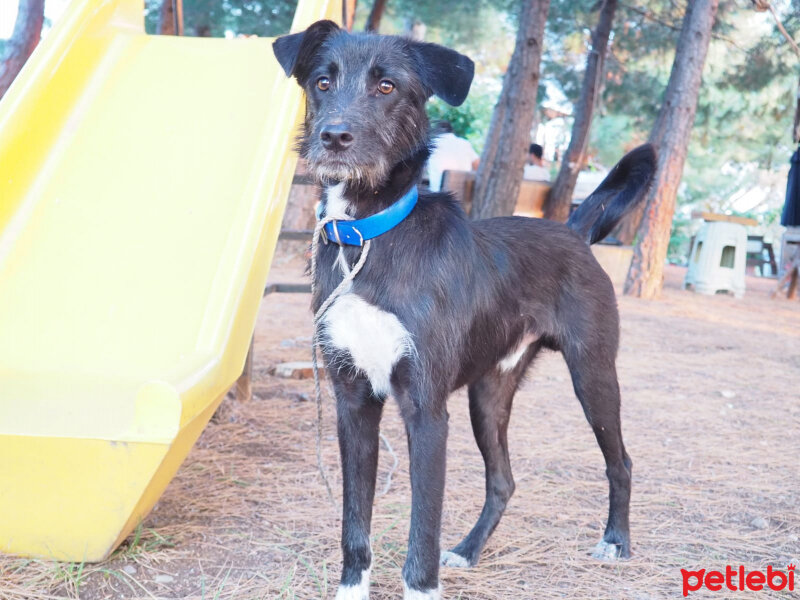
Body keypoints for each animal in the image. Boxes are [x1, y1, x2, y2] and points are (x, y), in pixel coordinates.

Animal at [272, 22, 652, 600]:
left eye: (387, 86)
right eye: (321, 82)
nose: (334, 137)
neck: (366, 237)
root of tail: (572, 229)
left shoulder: (426, 409)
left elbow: (421, 532)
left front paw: (420, 584)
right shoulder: (352, 402)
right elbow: (354, 525)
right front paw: (352, 588)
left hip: (593, 374)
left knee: (622, 462)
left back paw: (615, 541)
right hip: (488, 394)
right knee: (503, 481)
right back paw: (470, 550)